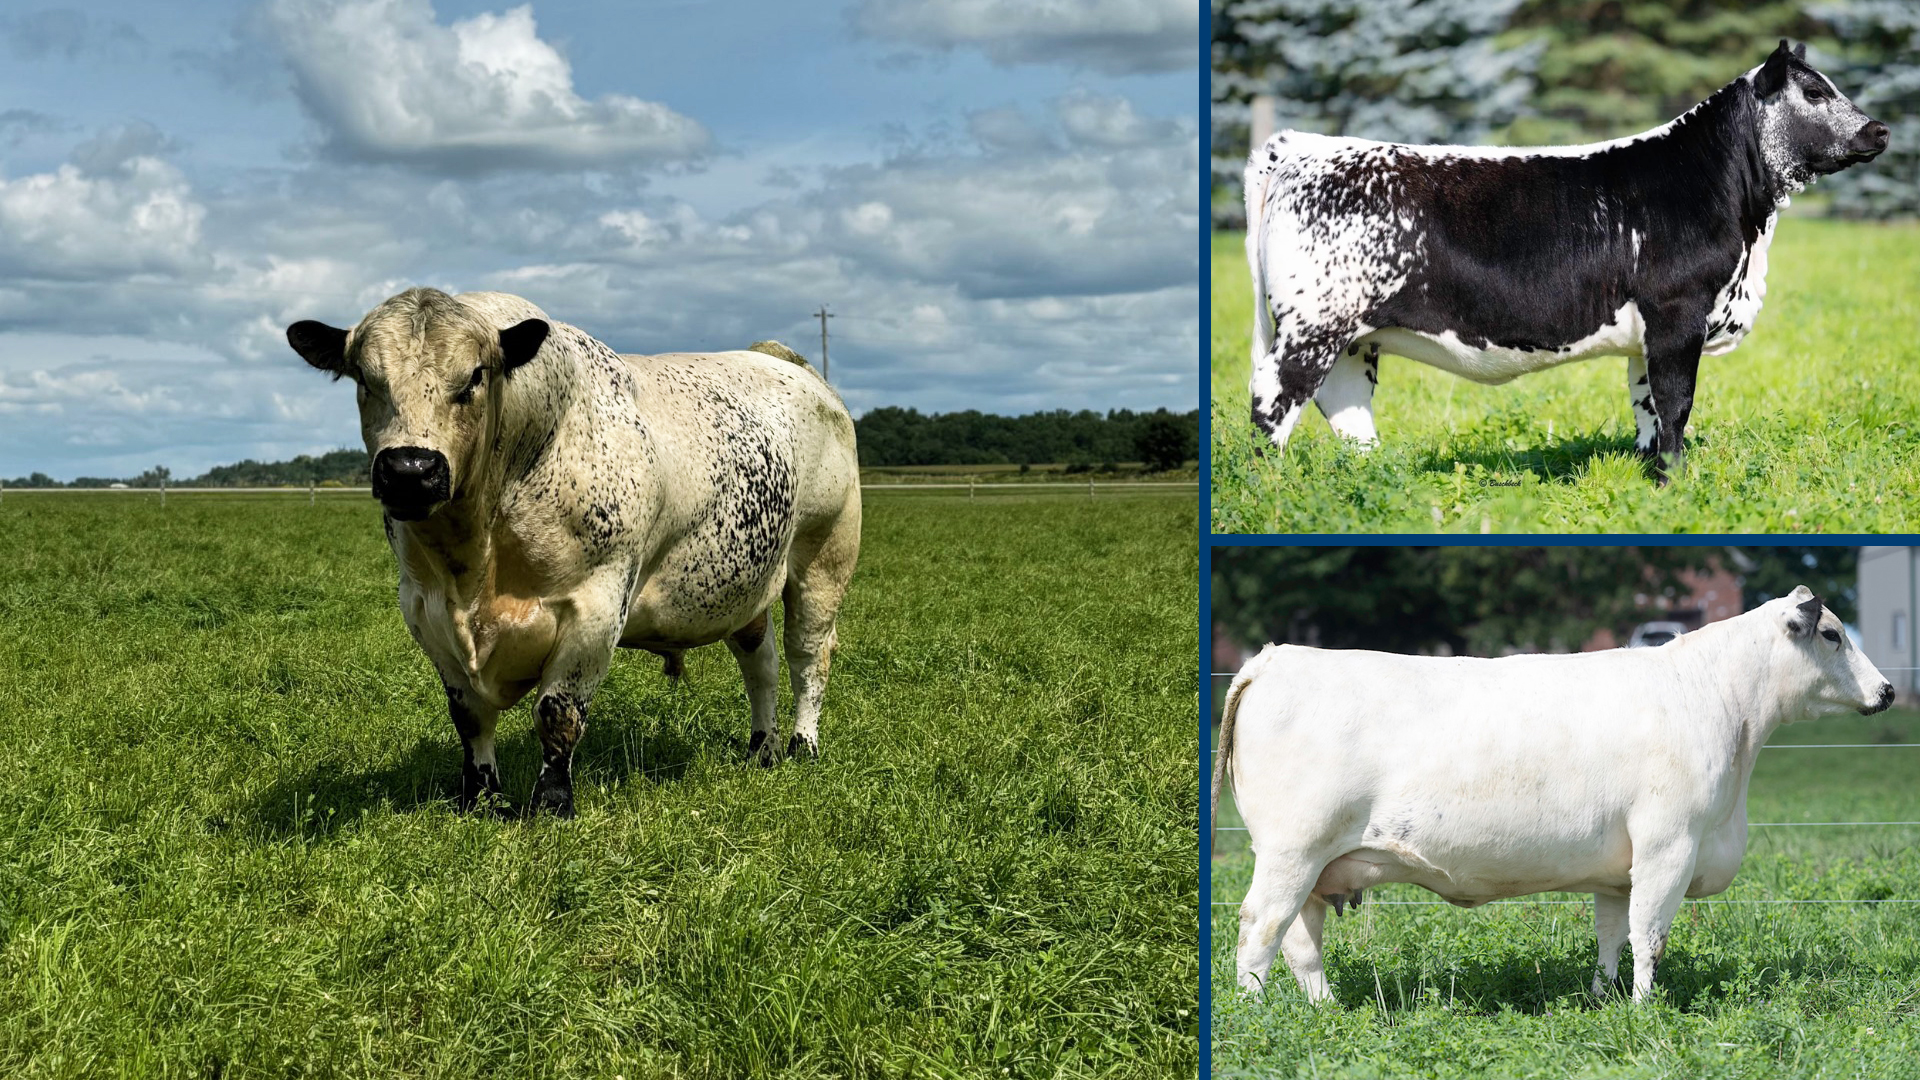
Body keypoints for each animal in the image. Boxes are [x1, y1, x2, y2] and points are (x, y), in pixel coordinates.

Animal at [286, 288, 861, 818]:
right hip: (745, 583)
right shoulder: (424, 608)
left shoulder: (596, 604)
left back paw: (801, 745)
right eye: (366, 379)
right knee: (760, 661)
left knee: (808, 656)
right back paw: (762, 749)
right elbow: (468, 715)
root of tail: (781, 360)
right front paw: (482, 798)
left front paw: (552, 803)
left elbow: (557, 712)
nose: (410, 470)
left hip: (824, 557)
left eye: (473, 377)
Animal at [1210, 587, 1894, 1004]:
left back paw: (1327, 1009)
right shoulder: (1669, 845)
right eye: (1832, 635)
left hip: (1314, 863)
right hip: (1291, 850)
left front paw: (1604, 1000)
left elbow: (1613, 937)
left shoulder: (1619, 869)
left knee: (1301, 939)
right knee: (1260, 928)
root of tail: (1275, 656)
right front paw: (1646, 1010)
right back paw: (1257, 1012)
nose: (1888, 690)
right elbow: (1650, 936)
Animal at [1243, 41, 1890, 480]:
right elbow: (1677, 403)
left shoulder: (1647, 335)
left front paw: (1653, 479)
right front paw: (1677, 484)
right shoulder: (1678, 312)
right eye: (1815, 92)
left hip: (1354, 336)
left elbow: (1648, 408)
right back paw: (1266, 488)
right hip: (1314, 325)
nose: (1879, 130)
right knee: (1273, 400)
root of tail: (1305, 145)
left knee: (1345, 408)